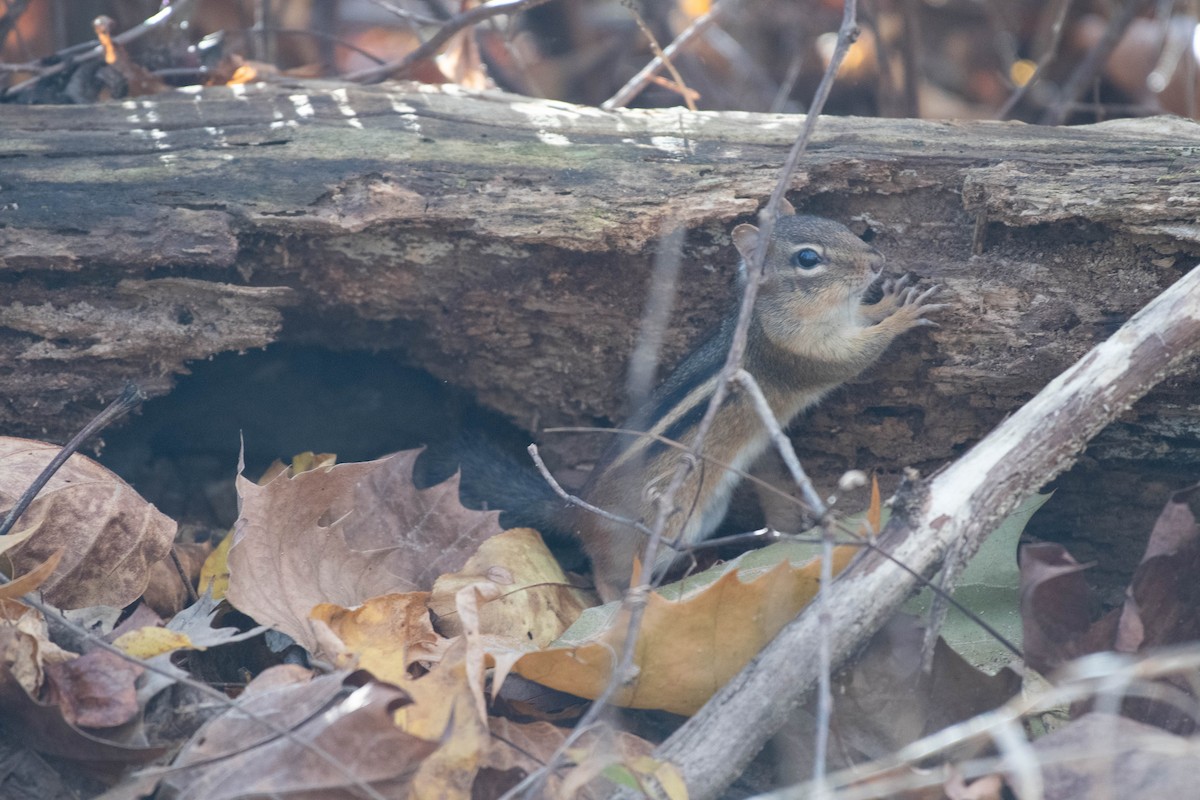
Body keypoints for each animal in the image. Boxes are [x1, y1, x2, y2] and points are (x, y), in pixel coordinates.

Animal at [427, 199, 945, 601]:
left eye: (841, 226)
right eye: (807, 259)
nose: (877, 261)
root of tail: (577, 511)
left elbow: (866, 319)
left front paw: (890, 300)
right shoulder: (802, 354)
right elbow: (858, 356)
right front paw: (903, 316)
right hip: (661, 531)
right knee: (606, 575)